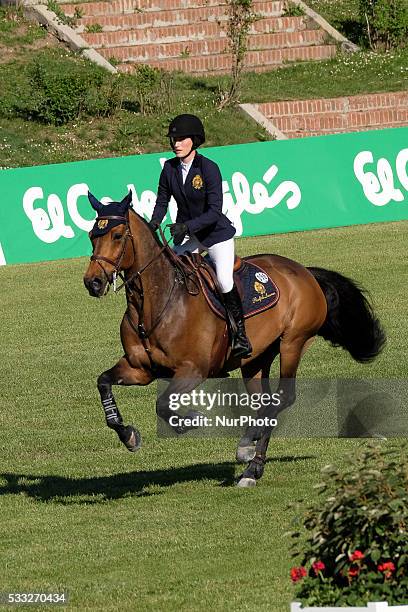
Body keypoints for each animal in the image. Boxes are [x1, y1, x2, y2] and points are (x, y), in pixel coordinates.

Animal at [83, 191, 386, 488]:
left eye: (117, 236)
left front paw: (191, 420)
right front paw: (128, 435)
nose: (92, 283)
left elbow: (162, 404)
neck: (154, 303)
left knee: (283, 397)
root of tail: (304, 271)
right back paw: (250, 450)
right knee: (265, 403)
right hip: (256, 359)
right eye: (91, 236)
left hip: (293, 342)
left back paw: (252, 461)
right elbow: (103, 382)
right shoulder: (140, 369)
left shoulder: (193, 370)